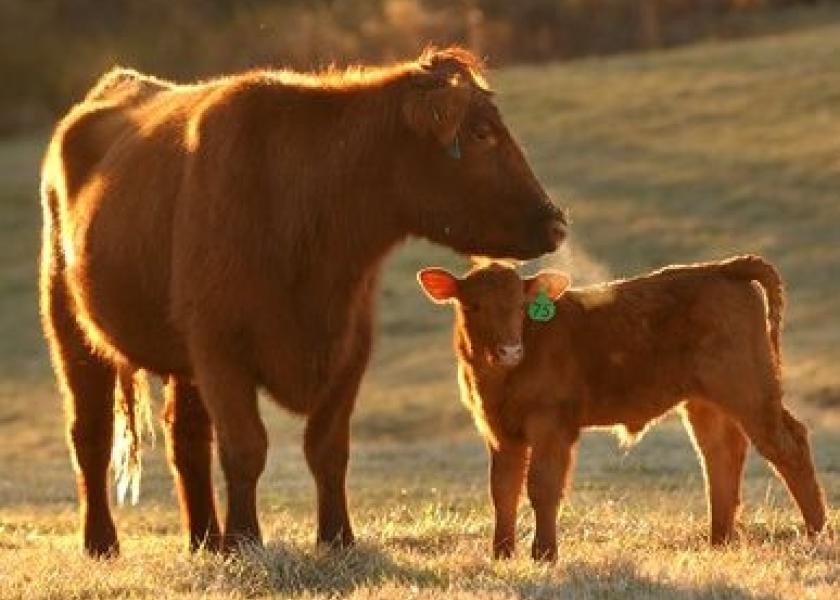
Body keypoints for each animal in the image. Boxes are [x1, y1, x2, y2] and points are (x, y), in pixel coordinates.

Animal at [37, 48, 564, 556]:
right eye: (482, 133)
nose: (556, 222)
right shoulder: (220, 350)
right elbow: (245, 447)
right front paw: (244, 541)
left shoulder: (350, 348)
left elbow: (328, 449)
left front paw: (337, 538)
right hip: (70, 325)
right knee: (90, 434)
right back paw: (102, 542)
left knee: (185, 437)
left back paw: (204, 539)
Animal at [420, 258, 828, 564]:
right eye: (473, 306)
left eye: (521, 306)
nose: (510, 351)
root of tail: (721, 268)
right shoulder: (500, 430)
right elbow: (503, 490)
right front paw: (502, 554)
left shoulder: (552, 425)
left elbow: (542, 486)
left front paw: (544, 555)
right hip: (706, 403)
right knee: (721, 456)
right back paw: (719, 542)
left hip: (749, 391)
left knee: (787, 446)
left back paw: (816, 534)